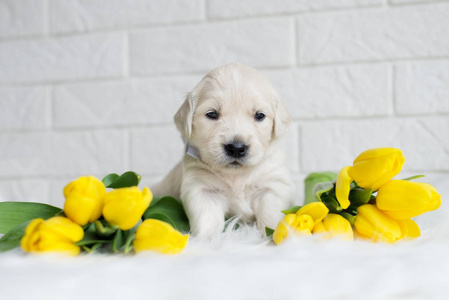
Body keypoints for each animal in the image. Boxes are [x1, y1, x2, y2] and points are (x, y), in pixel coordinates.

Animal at [152, 63, 296, 239]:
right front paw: (209, 239)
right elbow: (207, 218)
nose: (236, 148)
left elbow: (271, 214)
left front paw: (273, 235)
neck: (236, 176)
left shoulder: (273, 185)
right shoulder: (201, 188)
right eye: (212, 114)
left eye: (259, 115)